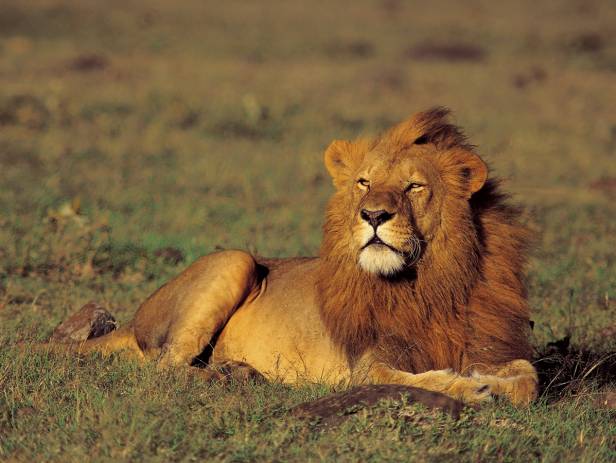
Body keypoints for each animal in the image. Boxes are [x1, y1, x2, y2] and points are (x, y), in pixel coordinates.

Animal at [38, 109, 540, 406]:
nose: (373, 215)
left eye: (414, 186)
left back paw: (236, 371)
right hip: (235, 260)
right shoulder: (368, 364)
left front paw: (497, 385)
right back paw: (228, 378)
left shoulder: (490, 344)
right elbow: (417, 380)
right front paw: (474, 388)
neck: (427, 281)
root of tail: (135, 319)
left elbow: (528, 378)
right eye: (363, 182)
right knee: (164, 372)